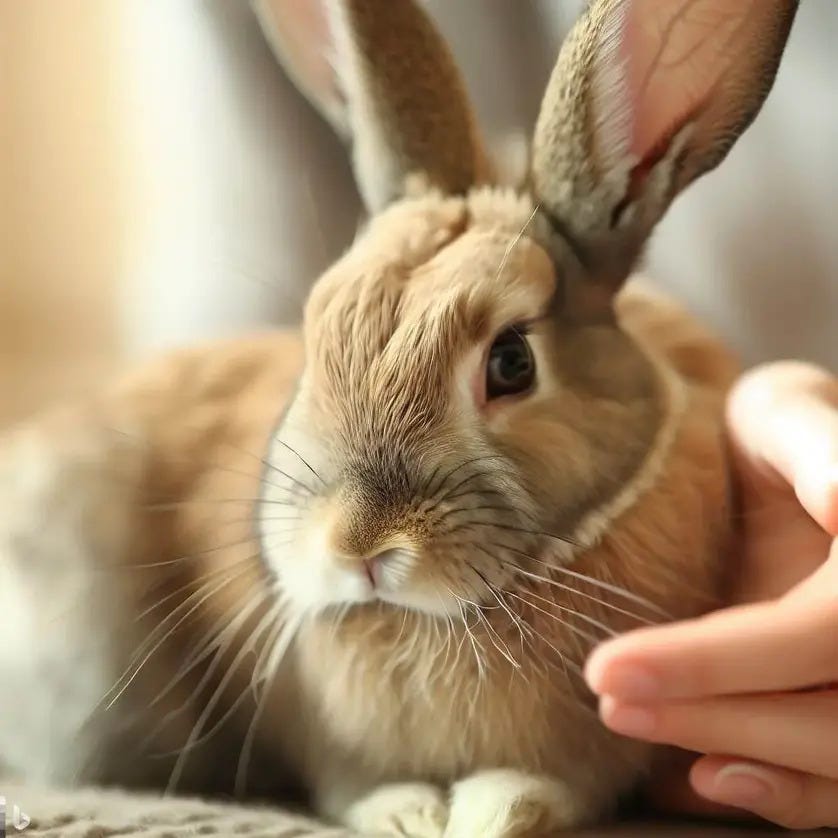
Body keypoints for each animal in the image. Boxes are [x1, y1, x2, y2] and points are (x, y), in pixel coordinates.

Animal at [0, 0, 798, 834]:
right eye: (313, 335)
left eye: (512, 363)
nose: (356, 547)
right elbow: (357, 785)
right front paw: (411, 814)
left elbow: (545, 783)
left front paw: (493, 813)